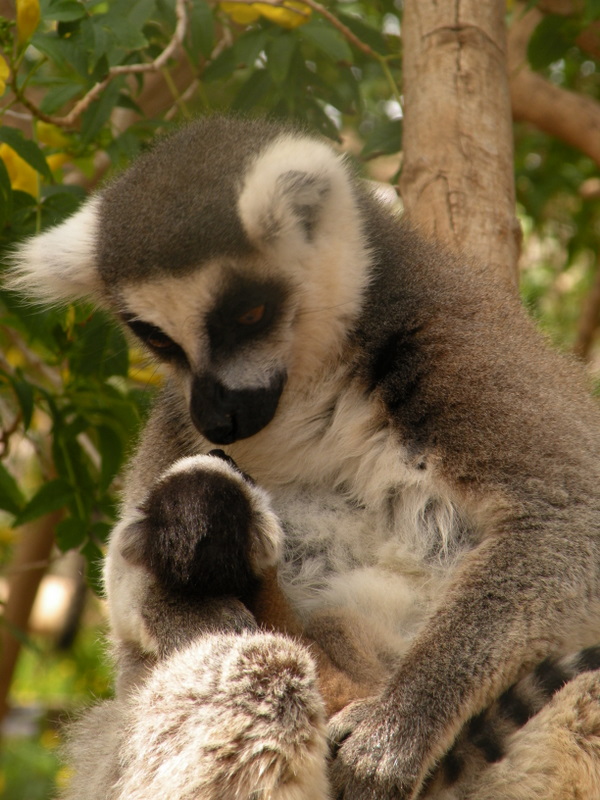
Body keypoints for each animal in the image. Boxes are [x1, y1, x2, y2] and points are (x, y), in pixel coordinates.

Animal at [9, 114, 600, 799]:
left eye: (249, 313)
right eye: (155, 337)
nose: (218, 419)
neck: (313, 383)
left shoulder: (456, 337)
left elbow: (568, 520)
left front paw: (392, 739)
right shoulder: (175, 423)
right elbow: (128, 586)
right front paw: (193, 613)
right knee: (252, 670)